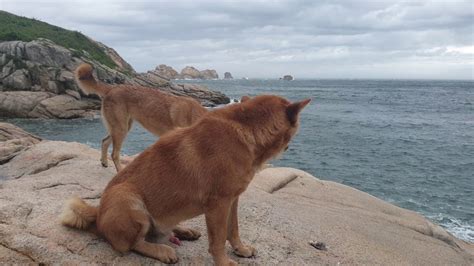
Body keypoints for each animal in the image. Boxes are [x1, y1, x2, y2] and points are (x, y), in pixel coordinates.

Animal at [60, 94, 312, 264]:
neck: (246, 128)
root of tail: (97, 214)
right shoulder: (219, 205)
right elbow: (218, 240)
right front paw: (224, 261)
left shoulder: (232, 200)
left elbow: (233, 230)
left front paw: (240, 249)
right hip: (128, 199)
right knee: (133, 244)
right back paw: (161, 251)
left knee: (160, 230)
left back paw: (183, 231)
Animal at [74, 64, 207, 172]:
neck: (193, 114)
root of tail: (112, 88)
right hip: (120, 129)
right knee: (114, 154)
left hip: (121, 127)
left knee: (104, 141)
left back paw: (104, 162)